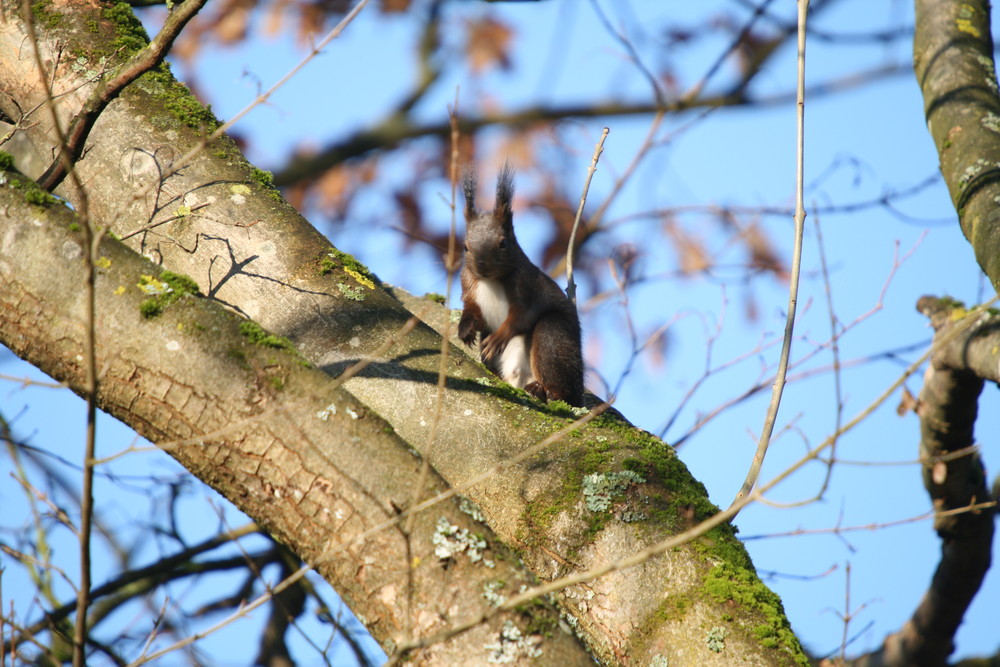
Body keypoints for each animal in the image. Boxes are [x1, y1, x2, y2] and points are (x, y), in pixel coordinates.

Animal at [456, 164, 584, 410]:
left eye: (503, 243)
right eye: (465, 247)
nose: (481, 265)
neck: (491, 281)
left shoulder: (528, 288)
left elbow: (521, 317)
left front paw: (499, 338)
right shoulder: (469, 286)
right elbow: (472, 310)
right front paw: (465, 328)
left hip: (553, 337)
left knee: (561, 389)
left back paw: (543, 389)